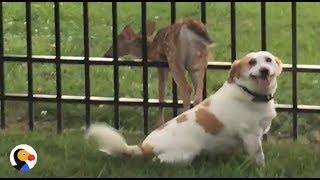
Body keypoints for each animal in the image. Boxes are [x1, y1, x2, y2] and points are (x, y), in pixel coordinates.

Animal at [85, 50, 282, 166]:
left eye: (268, 60)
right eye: (251, 63)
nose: (264, 70)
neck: (249, 93)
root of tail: (143, 146)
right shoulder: (251, 136)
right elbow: (259, 158)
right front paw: (261, 170)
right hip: (184, 154)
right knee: (158, 161)